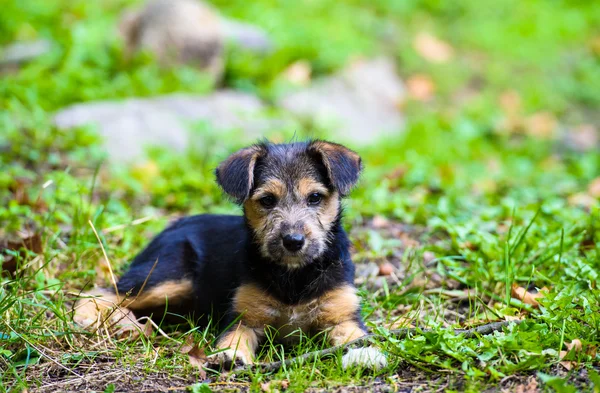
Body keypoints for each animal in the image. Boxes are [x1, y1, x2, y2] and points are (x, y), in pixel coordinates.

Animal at [75, 140, 386, 368]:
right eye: (267, 200)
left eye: (315, 198)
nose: (293, 241)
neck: (294, 275)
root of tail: (173, 225)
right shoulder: (242, 318)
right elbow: (233, 339)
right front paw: (229, 356)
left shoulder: (342, 315)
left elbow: (356, 337)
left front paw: (365, 354)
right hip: (169, 275)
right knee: (102, 291)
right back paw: (95, 318)